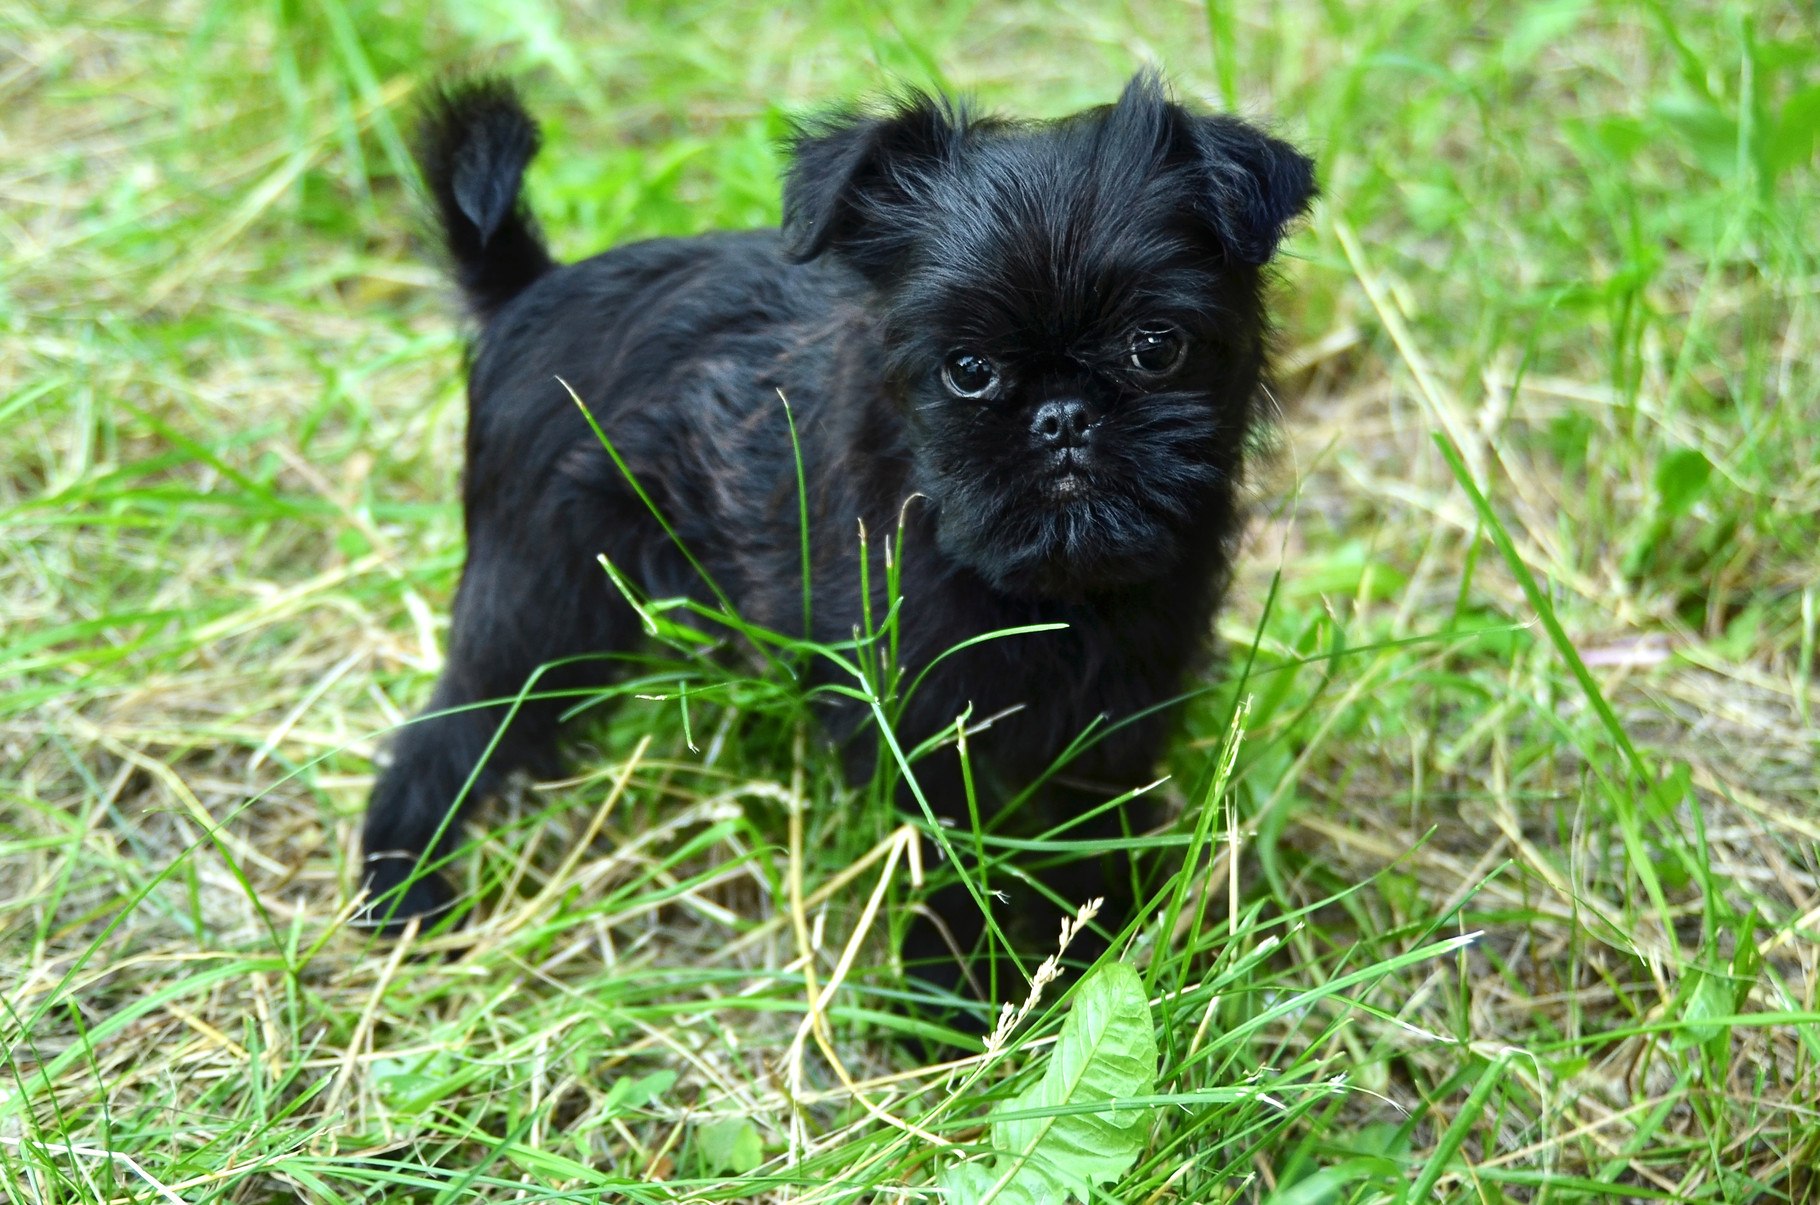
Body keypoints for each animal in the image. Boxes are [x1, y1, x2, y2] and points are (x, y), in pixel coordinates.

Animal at [358, 70, 1310, 982]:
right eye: (968, 370)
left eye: (1156, 347)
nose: (1063, 416)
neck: (1052, 592)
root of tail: (530, 287)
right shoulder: (916, 730)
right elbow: (945, 867)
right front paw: (952, 992)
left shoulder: (1121, 712)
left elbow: (1091, 838)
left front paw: (1102, 950)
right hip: (539, 604)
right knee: (442, 741)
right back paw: (402, 893)